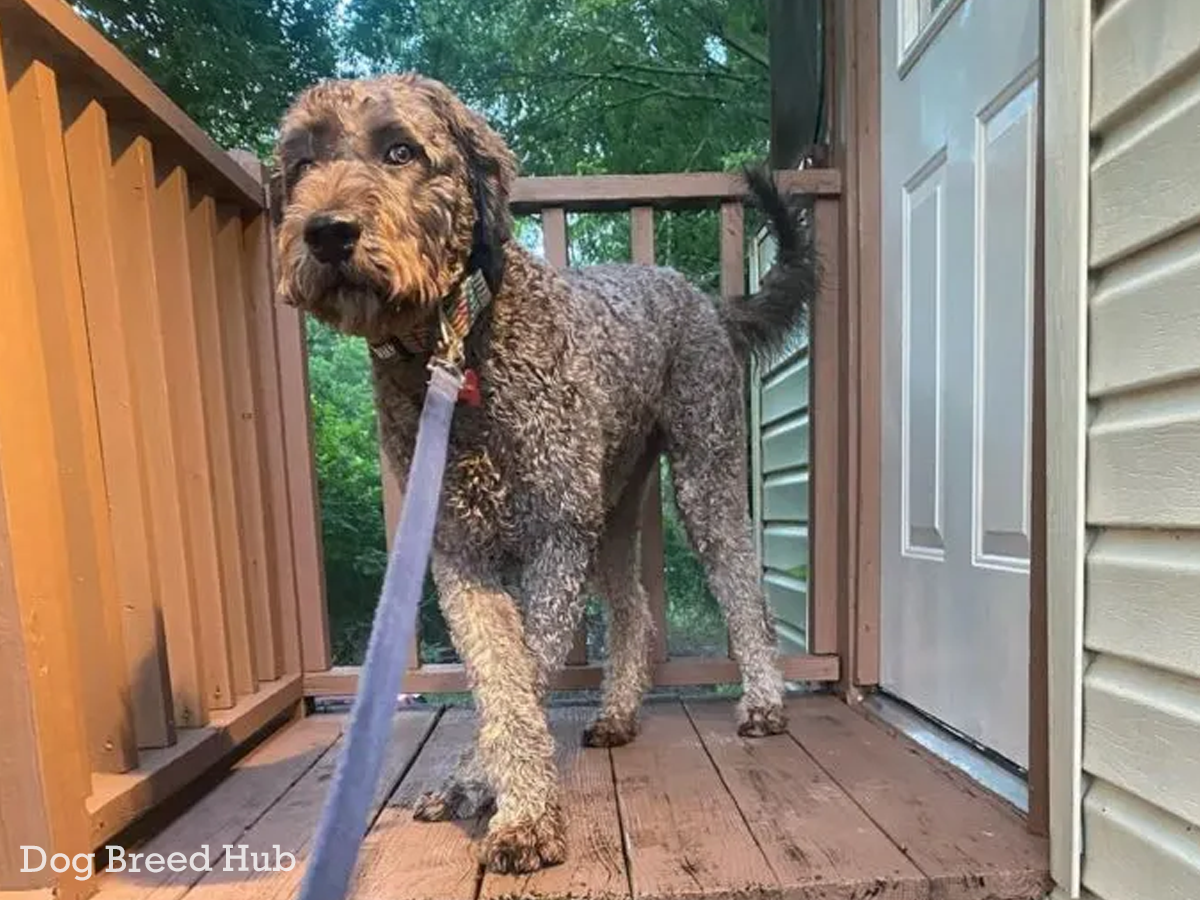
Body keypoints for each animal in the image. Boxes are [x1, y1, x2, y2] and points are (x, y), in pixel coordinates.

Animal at [268, 74, 820, 878]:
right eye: (302, 163)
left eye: (401, 150)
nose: (327, 233)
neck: (461, 348)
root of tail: (705, 300)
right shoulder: (461, 556)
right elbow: (501, 681)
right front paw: (483, 784)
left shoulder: (553, 540)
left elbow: (525, 679)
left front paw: (514, 810)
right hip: (612, 505)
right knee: (634, 608)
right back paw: (618, 713)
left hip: (702, 473)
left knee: (745, 589)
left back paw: (764, 702)